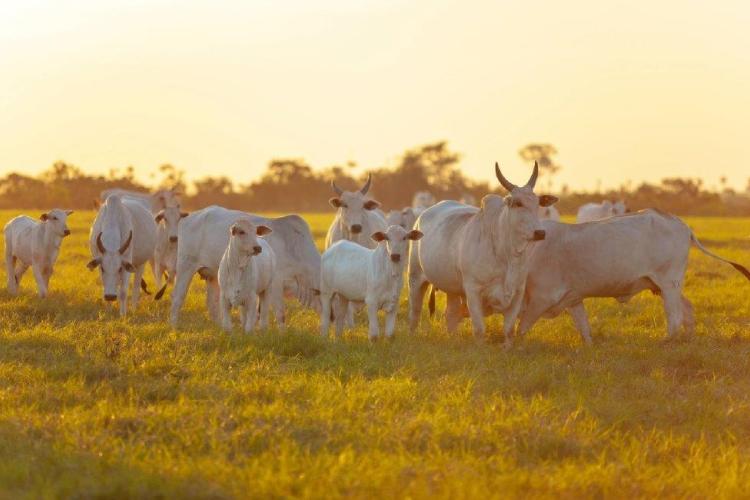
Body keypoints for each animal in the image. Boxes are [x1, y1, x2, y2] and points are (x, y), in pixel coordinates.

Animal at [169, 204, 322, 326]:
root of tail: (189, 217)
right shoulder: (275, 284)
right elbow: (280, 315)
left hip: (212, 275)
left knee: (212, 303)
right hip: (185, 266)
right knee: (177, 297)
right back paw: (174, 325)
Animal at [408, 162, 560, 346]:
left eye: (538, 204)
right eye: (518, 203)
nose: (540, 233)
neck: (507, 255)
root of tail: (421, 216)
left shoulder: (517, 292)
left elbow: (509, 330)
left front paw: (507, 348)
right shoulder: (473, 290)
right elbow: (479, 329)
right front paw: (480, 348)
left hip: (452, 288)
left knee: (450, 314)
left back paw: (453, 339)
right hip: (415, 278)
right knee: (415, 313)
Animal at [516, 208, 750, 344]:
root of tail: (681, 225)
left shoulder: (541, 298)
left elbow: (521, 329)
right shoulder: (573, 298)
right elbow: (584, 329)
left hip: (669, 284)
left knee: (674, 317)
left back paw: (666, 343)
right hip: (664, 287)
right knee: (687, 309)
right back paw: (688, 340)